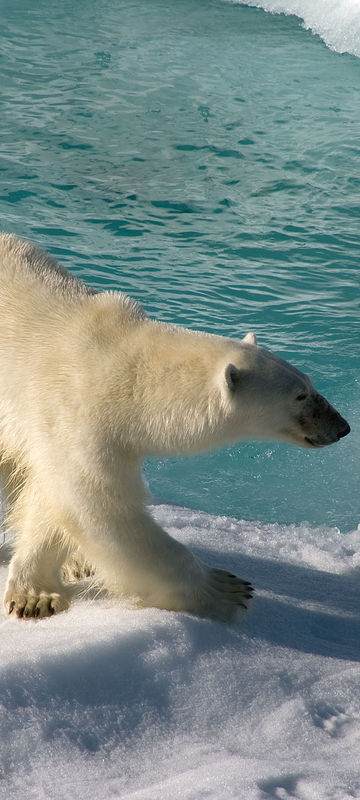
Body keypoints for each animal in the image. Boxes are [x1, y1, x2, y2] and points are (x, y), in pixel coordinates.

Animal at [0, 234, 350, 620]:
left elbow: (54, 500)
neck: (117, 365)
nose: (342, 426)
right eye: (300, 395)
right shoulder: (72, 410)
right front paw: (226, 590)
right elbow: (98, 505)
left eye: (310, 384)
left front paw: (40, 589)